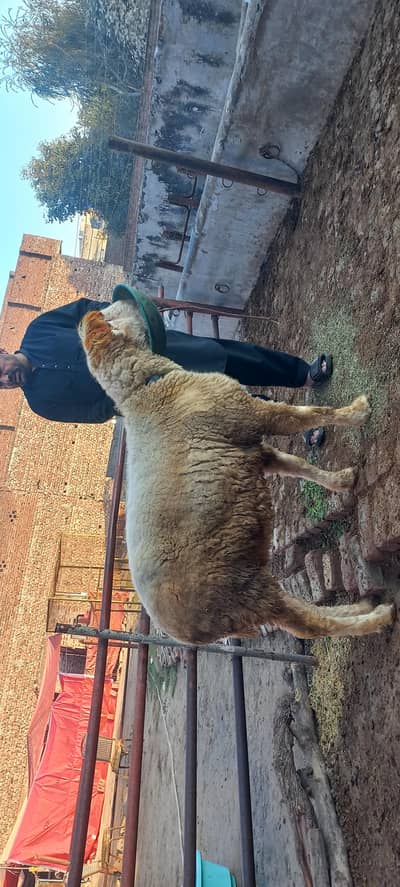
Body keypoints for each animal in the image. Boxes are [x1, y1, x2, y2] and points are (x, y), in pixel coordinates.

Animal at [79, 300, 395, 645]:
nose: (143, 306)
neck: (146, 387)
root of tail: (188, 634)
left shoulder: (251, 448)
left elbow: (298, 466)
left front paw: (342, 480)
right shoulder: (249, 413)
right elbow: (309, 415)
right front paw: (357, 412)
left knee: (300, 612)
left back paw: (361, 606)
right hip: (242, 591)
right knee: (309, 625)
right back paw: (376, 618)